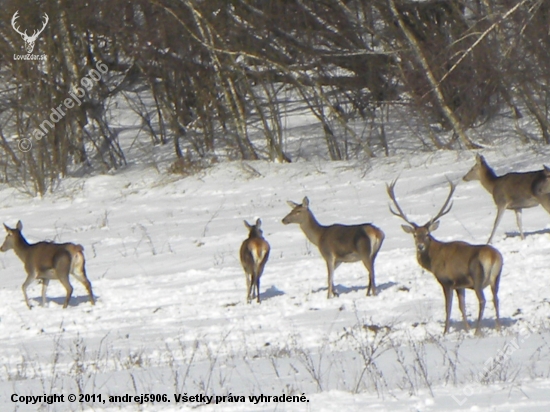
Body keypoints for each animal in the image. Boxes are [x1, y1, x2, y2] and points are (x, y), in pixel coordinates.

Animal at [388, 180, 504, 334]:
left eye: (427, 234)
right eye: (415, 235)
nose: (420, 246)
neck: (433, 261)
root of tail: (493, 257)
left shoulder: (446, 281)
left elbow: (448, 307)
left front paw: (445, 331)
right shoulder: (460, 285)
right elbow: (462, 306)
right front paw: (467, 328)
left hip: (477, 277)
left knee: (483, 300)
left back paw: (478, 331)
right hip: (496, 278)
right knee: (496, 299)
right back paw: (498, 328)